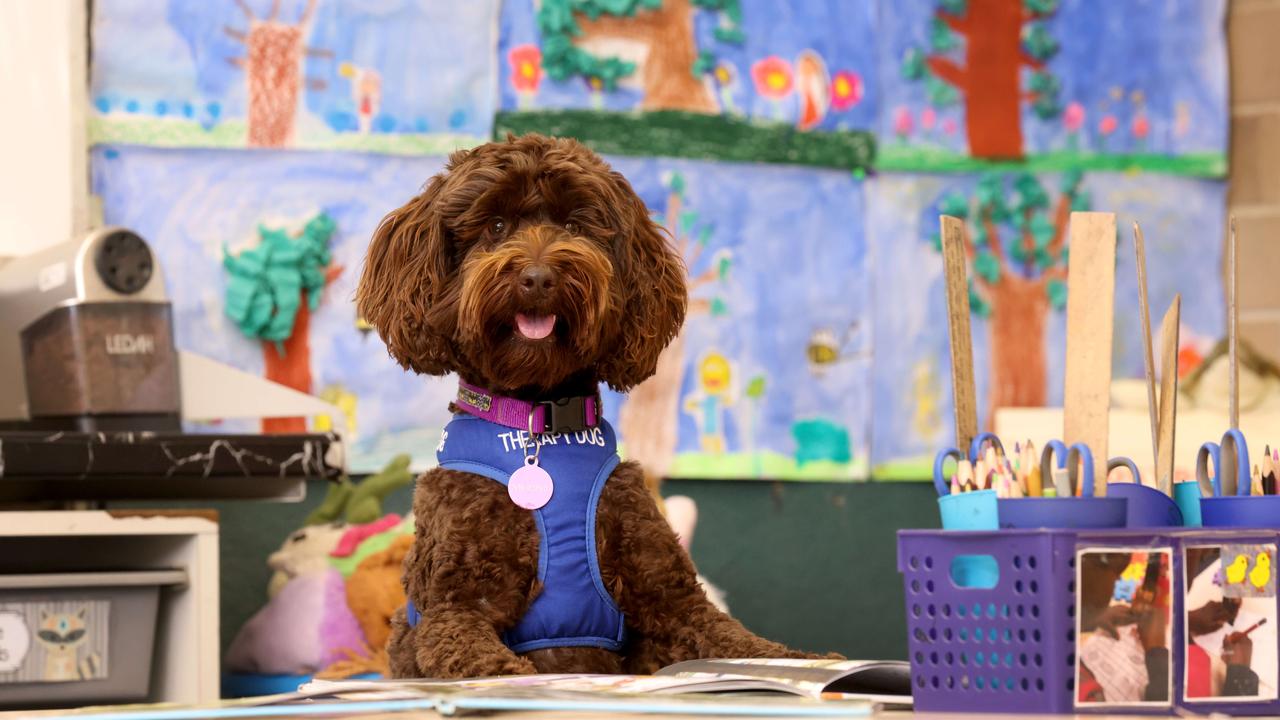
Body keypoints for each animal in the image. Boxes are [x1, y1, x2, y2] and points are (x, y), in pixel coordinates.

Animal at [358, 134, 829, 676]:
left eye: (574, 225)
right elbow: (492, 664)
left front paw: (811, 665)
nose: (538, 277)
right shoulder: (455, 609)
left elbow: (742, 642)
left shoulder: (672, 598)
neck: (539, 424)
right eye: (495, 226)